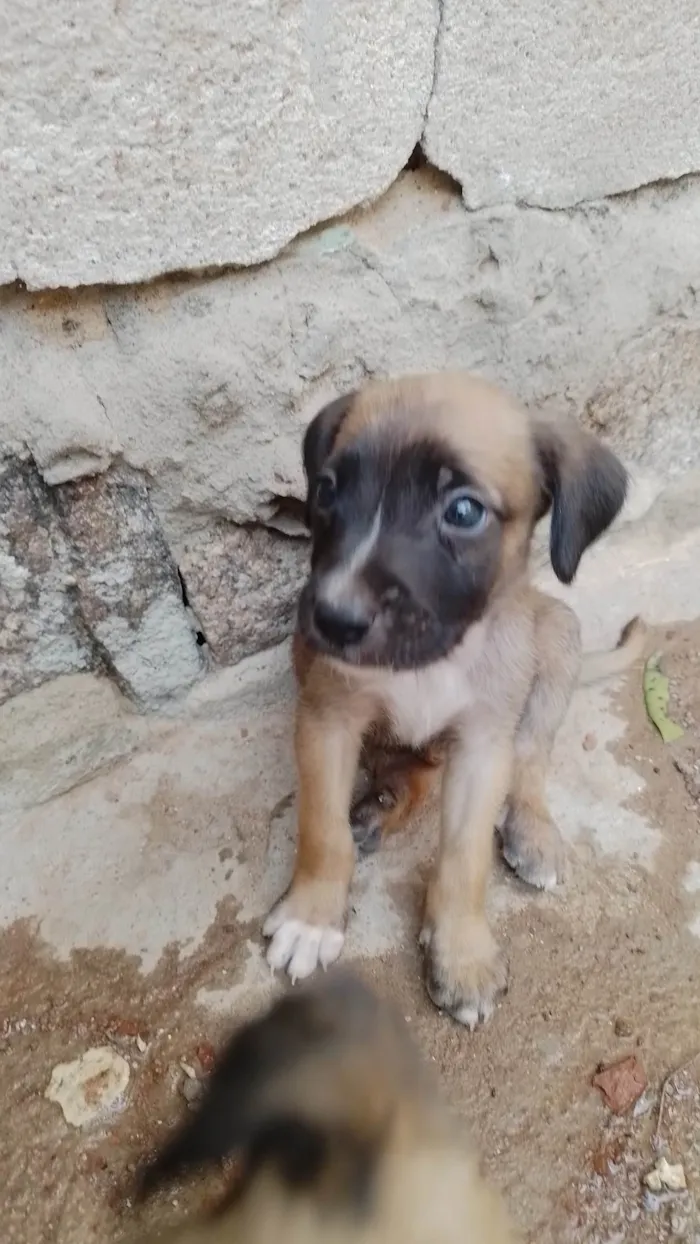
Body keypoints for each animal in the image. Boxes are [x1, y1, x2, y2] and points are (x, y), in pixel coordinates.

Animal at [264, 370, 646, 1030]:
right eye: (329, 490)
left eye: (463, 511)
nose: (333, 619)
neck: (433, 659)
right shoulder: (327, 715)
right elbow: (320, 827)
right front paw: (312, 915)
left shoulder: (482, 744)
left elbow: (465, 858)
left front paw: (462, 953)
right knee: (409, 772)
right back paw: (377, 808)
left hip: (558, 639)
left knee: (531, 762)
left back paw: (531, 831)